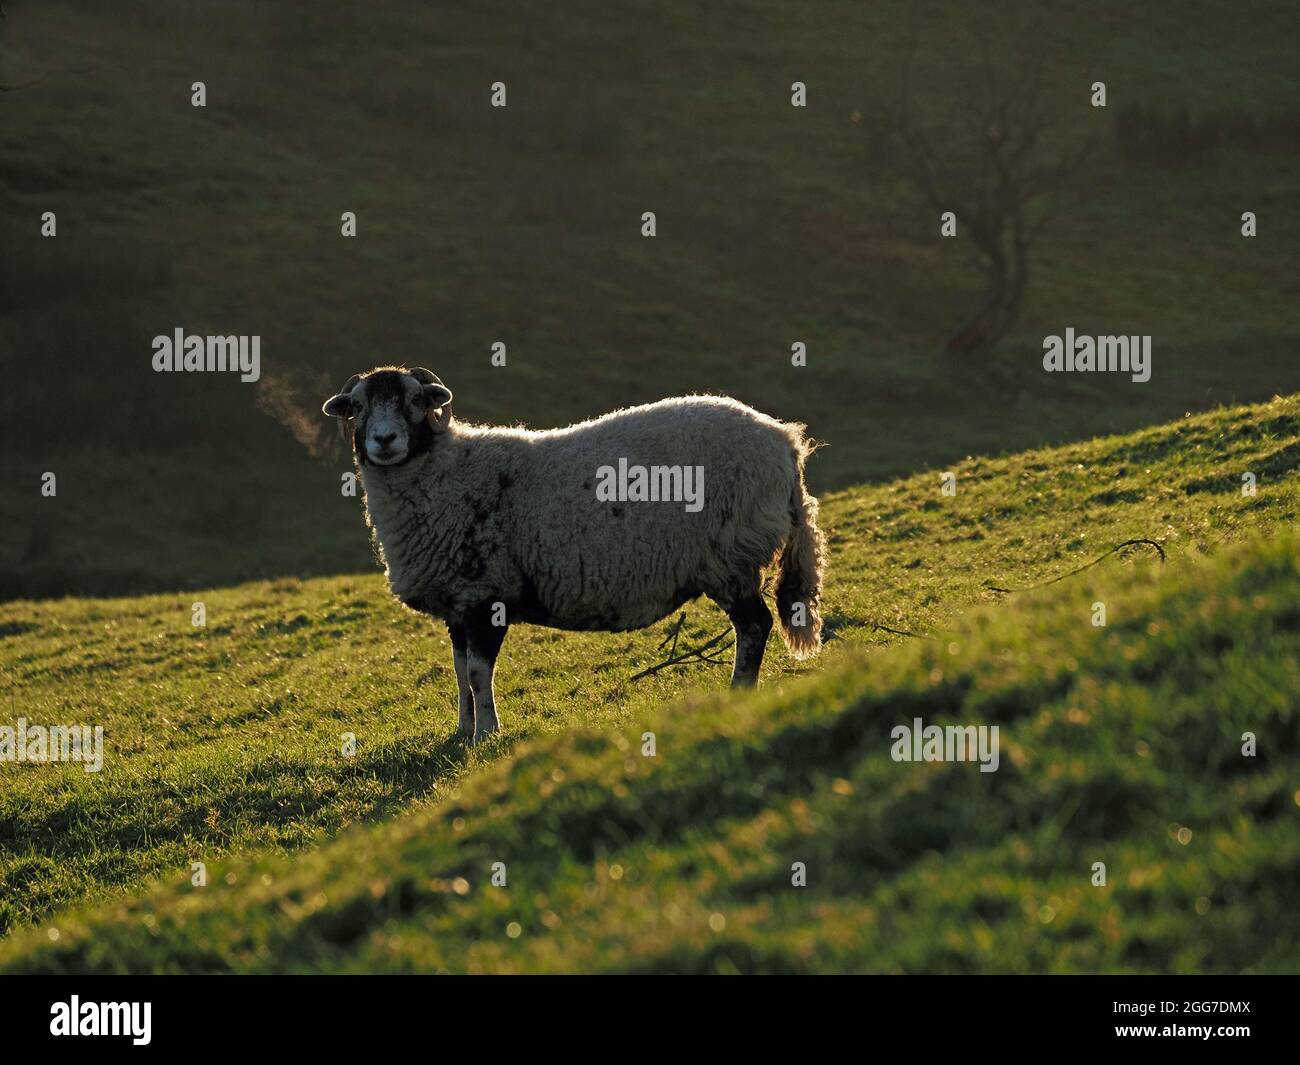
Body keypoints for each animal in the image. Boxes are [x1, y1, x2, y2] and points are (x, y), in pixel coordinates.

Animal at [322, 371, 821, 743]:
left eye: (413, 400)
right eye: (357, 406)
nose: (384, 441)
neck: (445, 474)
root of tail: (784, 441)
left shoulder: (486, 595)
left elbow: (480, 674)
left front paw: (487, 735)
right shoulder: (458, 603)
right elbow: (461, 673)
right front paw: (462, 732)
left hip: (728, 557)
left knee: (754, 626)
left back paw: (738, 693)